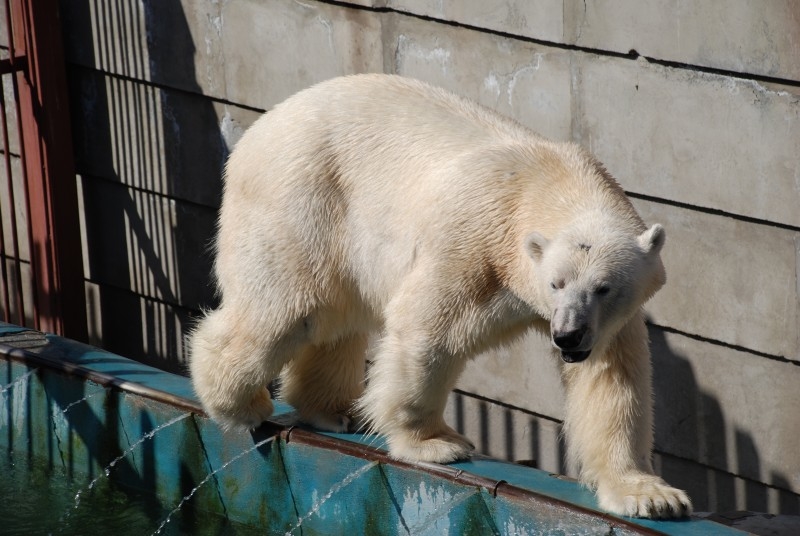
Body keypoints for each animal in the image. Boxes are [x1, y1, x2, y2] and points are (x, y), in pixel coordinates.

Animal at [189, 73, 692, 516]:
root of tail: (263, 125)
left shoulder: (609, 322)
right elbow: (429, 328)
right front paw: (437, 443)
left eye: (604, 287)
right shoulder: (473, 240)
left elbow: (612, 380)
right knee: (287, 309)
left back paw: (332, 410)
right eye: (556, 283)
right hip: (303, 200)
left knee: (336, 320)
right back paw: (241, 403)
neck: (545, 179)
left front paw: (651, 496)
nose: (567, 337)